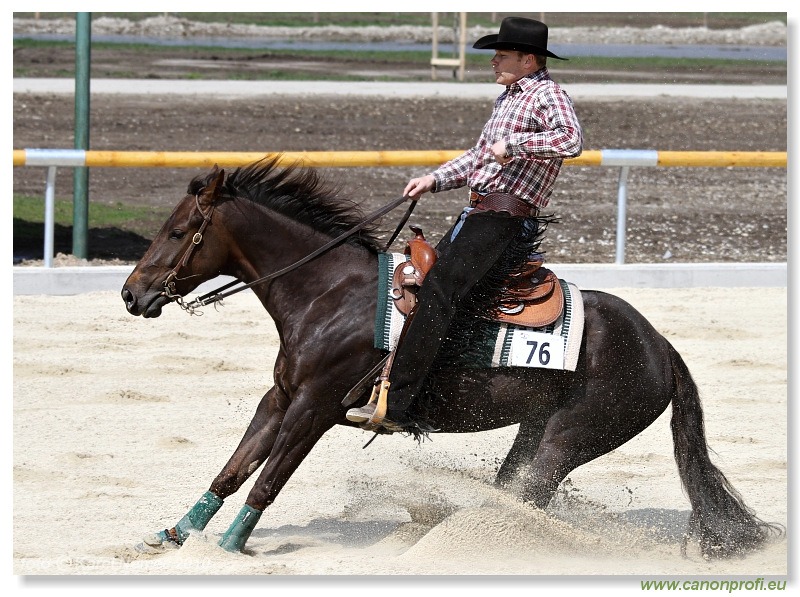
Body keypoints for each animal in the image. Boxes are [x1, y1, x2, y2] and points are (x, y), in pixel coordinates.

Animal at [120, 158, 780, 560]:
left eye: (178, 232)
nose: (131, 293)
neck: (330, 294)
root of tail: (661, 347)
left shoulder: (315, 409)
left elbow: (268, 480)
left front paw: (231, 547)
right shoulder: (281, 398)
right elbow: (233, 470)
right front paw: (177, 534)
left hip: (572, 437)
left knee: (527, 498)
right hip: (535, 430)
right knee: (515, 491)